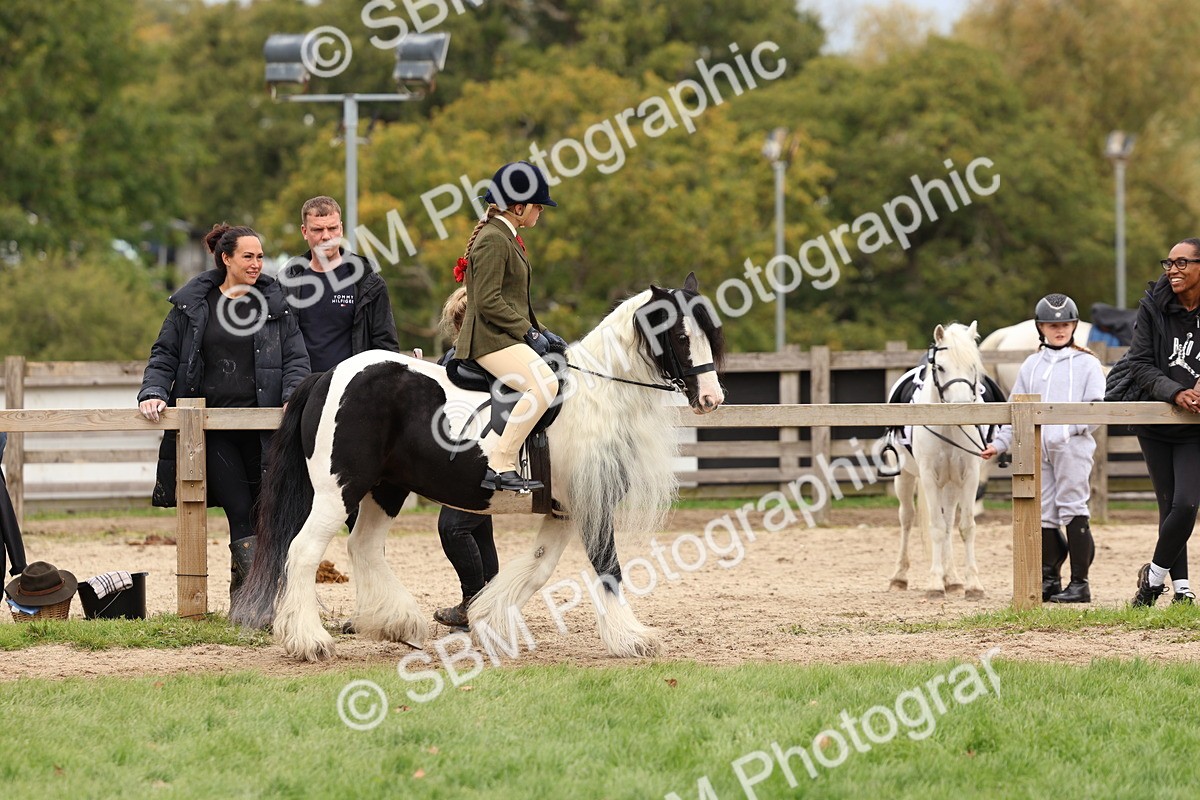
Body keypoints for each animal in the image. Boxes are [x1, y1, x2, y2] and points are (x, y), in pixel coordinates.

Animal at [229, 273, 725, 662]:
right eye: (680, 336)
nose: (711, 398)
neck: (598, 396)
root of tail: (328, 374)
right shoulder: (593, 505)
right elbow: (608, 567)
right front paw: (631, 639)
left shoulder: (564, 511)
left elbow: (538, 567)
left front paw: (489, 621)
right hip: (338, 491)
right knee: (303, 551)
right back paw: (309, 641)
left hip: (386, 489)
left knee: (363, 547)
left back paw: (398, 623)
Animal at [887, 322, 988, 599]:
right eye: (940, 367)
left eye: (973, 366)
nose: (962, 408)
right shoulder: (929, 477)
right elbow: (935, 527)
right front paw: (934, 583)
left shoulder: (970, 476)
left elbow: (965, 526)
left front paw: (972, 584)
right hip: (905, 477)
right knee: (907, 518)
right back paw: (899, 577)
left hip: (951, 484)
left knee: (949, 521)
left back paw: (951, 578)